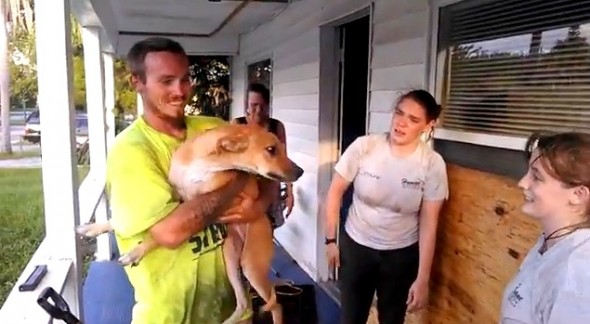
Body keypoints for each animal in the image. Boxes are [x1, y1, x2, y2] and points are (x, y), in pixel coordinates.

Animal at [77, 123, 306, 322]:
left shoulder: (205, 206)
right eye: (271, 149)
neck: (205, 164)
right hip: (232, 258)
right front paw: (92, 228)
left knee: (276, 304)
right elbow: (116, 221)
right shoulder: (181, 199)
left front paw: (136, 252)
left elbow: (155, 237)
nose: (301, 171)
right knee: (243, 303)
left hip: (251, 265)